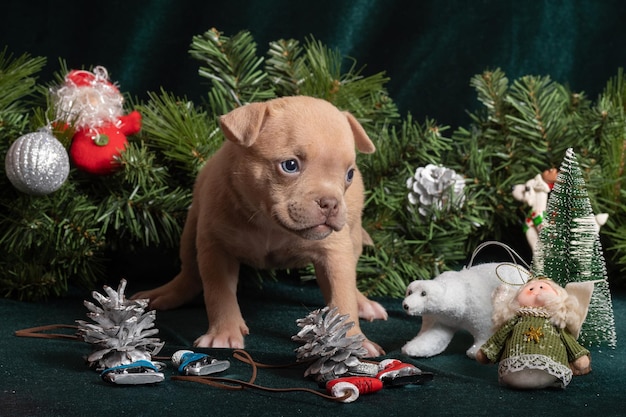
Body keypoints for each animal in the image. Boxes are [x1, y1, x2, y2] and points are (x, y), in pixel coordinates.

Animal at [135, 96, 388, 354]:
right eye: (290, 165)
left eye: (349, 175)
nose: (330, 203)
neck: (270, 224)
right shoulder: (216, 249)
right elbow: (219, 294)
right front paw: (224, 334)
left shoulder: (334, 254)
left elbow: (342, 299)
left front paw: (354, 342)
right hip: (191, 229)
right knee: (190, 273)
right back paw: (164, 293)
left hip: (353, 237)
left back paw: (363, 303)